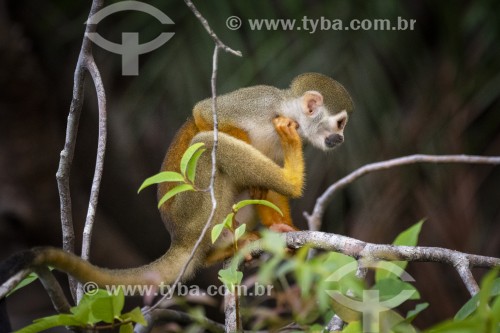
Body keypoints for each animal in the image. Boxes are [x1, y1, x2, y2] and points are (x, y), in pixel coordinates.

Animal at [166, 72, 354, 230]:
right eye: (340, 123)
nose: (341, 138)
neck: (287, 114)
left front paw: (280, 225)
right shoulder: (260, 102)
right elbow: (203, 111)